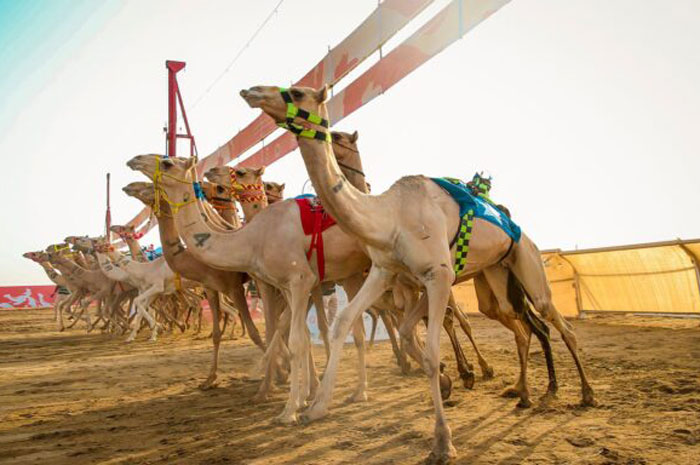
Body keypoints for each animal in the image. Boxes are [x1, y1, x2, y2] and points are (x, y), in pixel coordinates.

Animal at [242, 83, 596, 460]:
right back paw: (525, 393)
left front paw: (443, 439)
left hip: (526, 260)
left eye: (296, 93)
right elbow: (348, 323)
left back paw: (581, 393)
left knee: (556, 322)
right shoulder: (386, 271)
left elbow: (430, 350)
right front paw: (317, 406)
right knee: (521, 325)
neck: (390, 216)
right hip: (498, 275)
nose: (252, 91)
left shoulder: (438, 276)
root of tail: (518, 229)